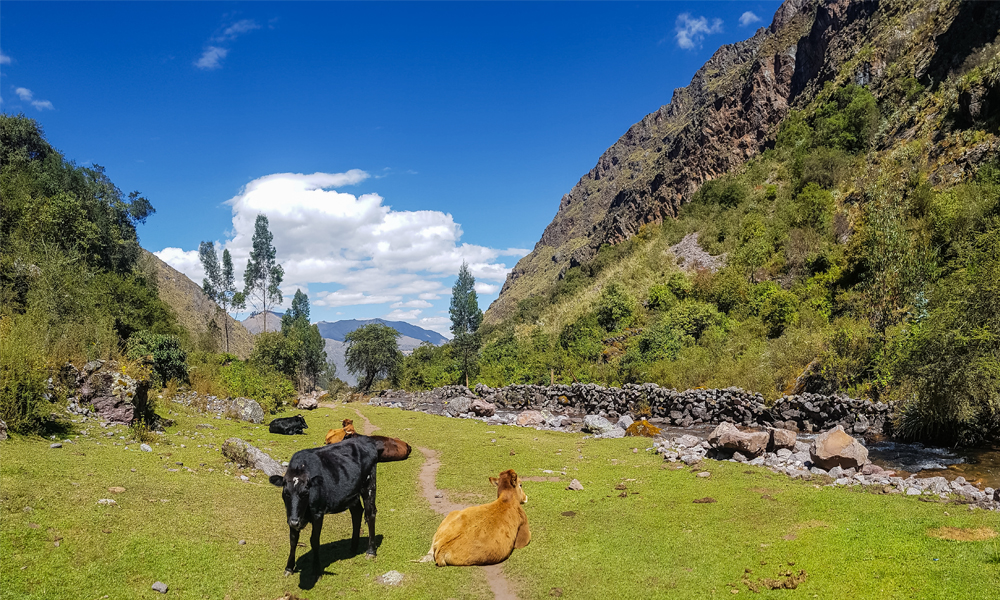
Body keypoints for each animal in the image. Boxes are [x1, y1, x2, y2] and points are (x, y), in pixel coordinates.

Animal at [268, 434, 412, 576]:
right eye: (286, 493)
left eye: (305, 493)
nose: (294, 522)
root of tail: (366, 439)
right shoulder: (291, 514)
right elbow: (293, 539)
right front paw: (289, 568)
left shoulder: (317, 513)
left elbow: (314, 540)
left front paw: (316, 568)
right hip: (352, 494)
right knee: (357, 512)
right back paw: (353, 547)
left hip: (369, 485)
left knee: (370, 513)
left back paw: (370, 551)